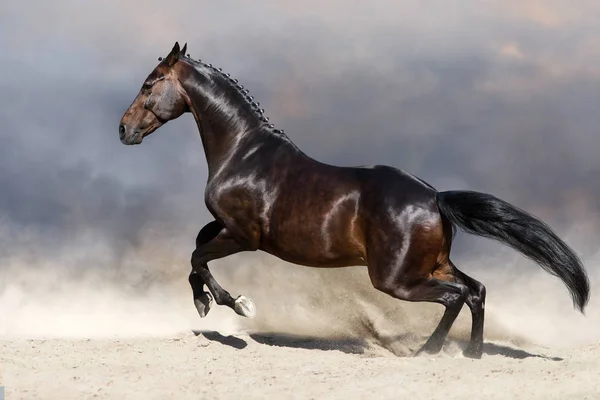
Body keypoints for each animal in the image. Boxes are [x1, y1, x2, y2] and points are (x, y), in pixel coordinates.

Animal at [118, 42, 592, 358]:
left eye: (149, 84)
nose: (124, 130)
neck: (242, 152)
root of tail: (435, 197)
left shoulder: (242, 236)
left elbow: (198, 255)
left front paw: (234, 304)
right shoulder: (226, 226)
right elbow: (197, 245)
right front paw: (204, 302)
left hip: (396, 279)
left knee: (456, 296)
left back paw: (427, 352)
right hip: (430, 265)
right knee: (475, 290)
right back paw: (469, 355)